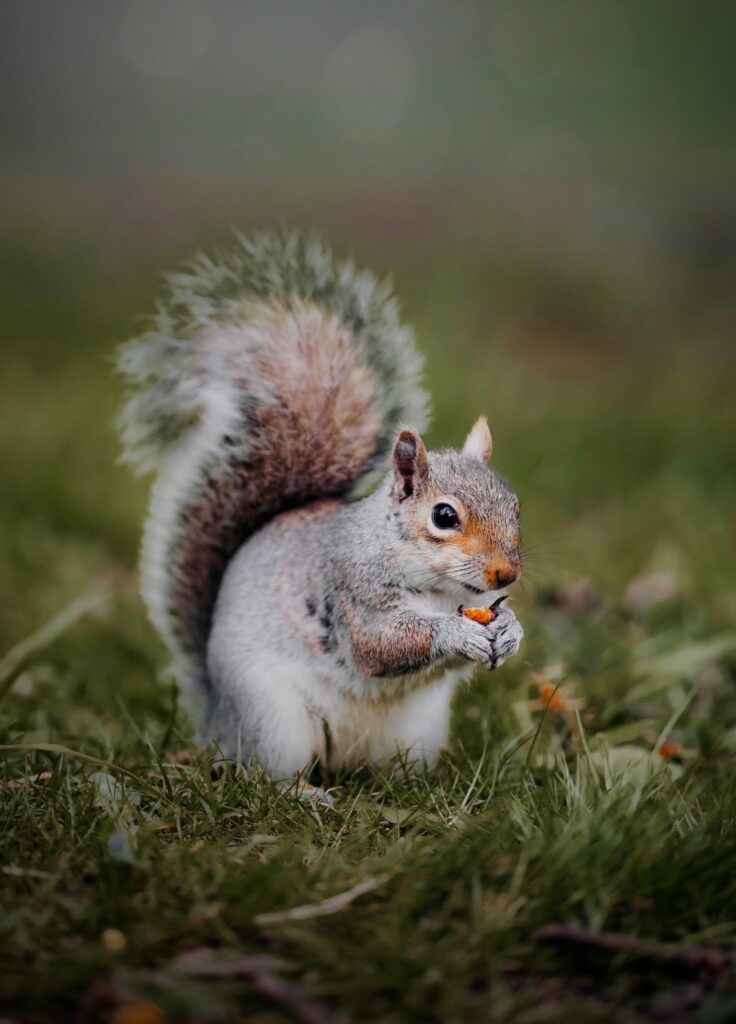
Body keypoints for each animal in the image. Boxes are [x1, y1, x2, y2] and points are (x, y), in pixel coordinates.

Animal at [118, 231, 523, 780]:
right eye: (444, 516)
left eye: (515, 505)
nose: (507, 574)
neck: (442, 588)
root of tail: (218, 721)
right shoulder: (353, 592)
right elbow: (382, 645)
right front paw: (455, 633)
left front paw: (511, 629)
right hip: (273, 720)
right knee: (266, 774)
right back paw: (304, 791)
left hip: (416, 731)